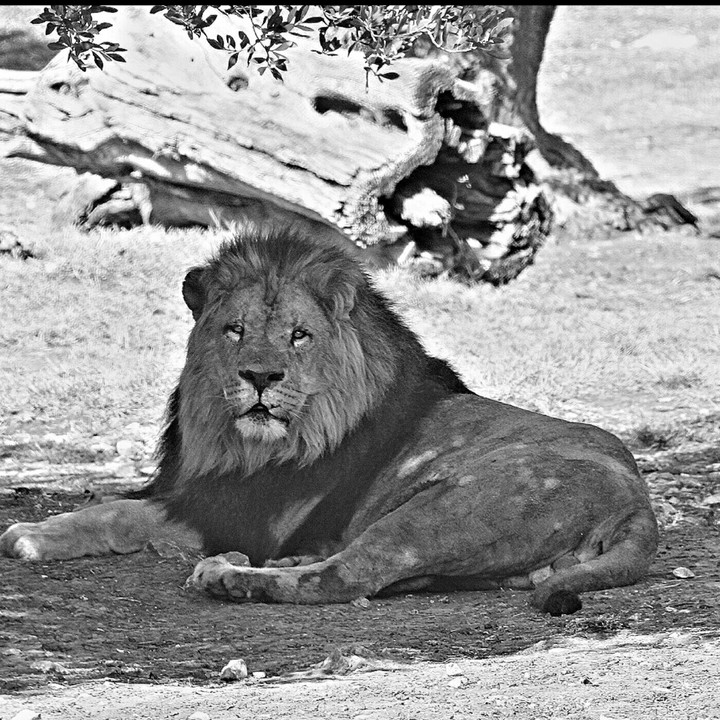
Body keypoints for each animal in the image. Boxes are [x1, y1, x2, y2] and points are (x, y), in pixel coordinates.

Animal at [0, 224, 658, 615]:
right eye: (234, 330)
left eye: (299, 336)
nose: (260, 377)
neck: (242, 446)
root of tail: (639, 504)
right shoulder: (200, 488)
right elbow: (116, 506)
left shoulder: (245, 514)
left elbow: (123, 513)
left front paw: (27, 535)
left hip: (444, 506)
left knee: (348, 577)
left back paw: (231, 577)